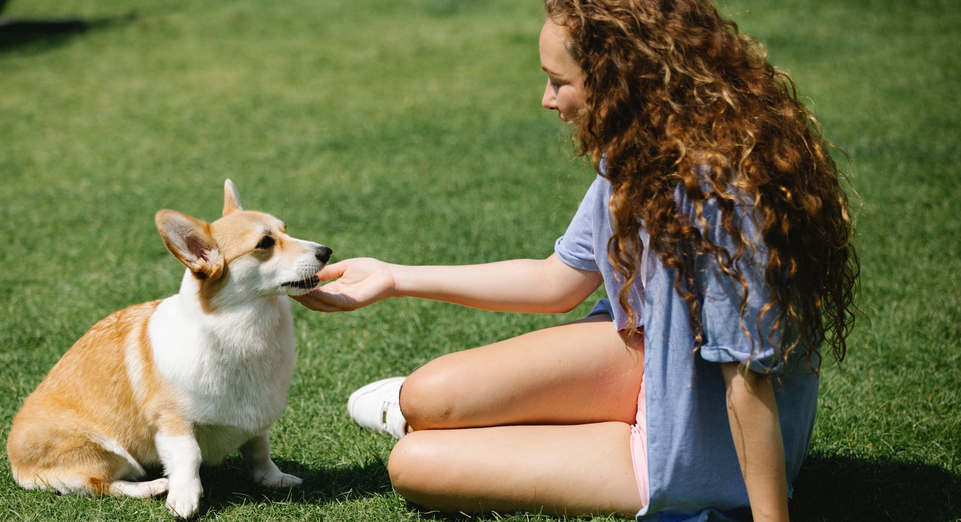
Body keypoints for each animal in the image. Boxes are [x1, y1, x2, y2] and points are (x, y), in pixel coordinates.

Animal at [5, 180, 332, 516]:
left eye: (285, 230)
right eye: (265, 243)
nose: (326, 251)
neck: (244, 327)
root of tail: (17, 466)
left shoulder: (256, 420)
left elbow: (259, 450)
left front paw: (274, 479)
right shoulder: (173, 421)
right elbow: (189, 456)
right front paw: (185, 498)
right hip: (104, 449)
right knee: (101, 484)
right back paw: (151, 487)